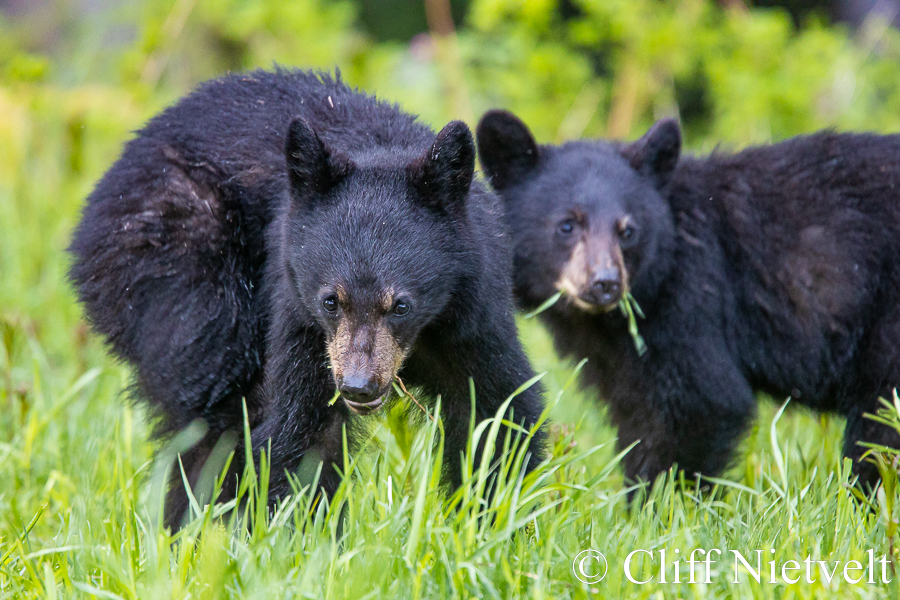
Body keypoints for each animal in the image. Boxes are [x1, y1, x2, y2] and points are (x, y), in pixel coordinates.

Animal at [68, 70, 548, 528]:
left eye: (401, 305)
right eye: (331, 301)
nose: (358, 385)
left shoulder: (472, 311)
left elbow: (496, 411)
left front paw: (498, 525)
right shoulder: (299, 313)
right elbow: (304, 430)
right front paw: (303, 536)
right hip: (174, 260)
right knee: (215, 405)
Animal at [474, 111, 900, 492]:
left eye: (627, 230)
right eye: (567, 224)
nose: (605, 284)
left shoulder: (691, 301)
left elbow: (700, 405)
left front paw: (659, 508)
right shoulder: (618, 357)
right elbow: (635, 411)